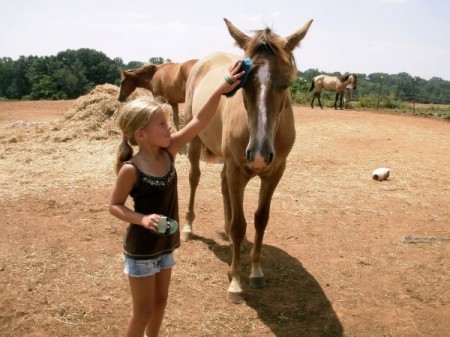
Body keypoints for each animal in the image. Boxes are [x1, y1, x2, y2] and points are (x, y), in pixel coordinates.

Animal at [181, 17, 312, 302]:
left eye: (286, 83)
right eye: (242, 83)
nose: (260, 154)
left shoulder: (275, 173)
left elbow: (261, 219)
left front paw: (256, 272)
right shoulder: (236, 170)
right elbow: (241, 225)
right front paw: (236, 282)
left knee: (223, 187)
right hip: (195, 141)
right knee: (194, 179)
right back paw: (187, 228)